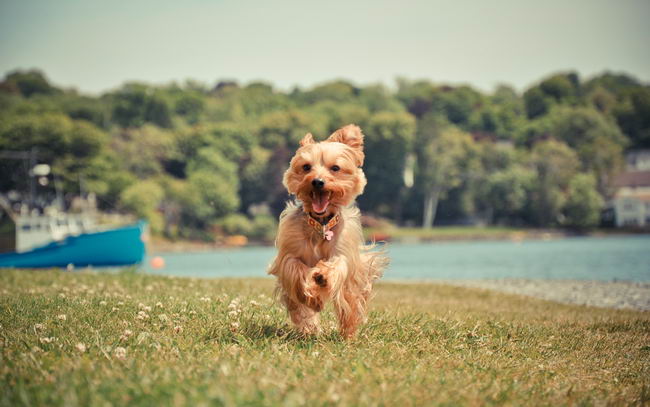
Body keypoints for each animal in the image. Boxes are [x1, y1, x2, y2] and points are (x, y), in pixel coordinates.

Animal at [268, 123, 388, 338]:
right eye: (306, 167)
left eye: (335, 168)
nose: (317, 181)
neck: (321, 223)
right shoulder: (289, 253)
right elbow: (295, 269)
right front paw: (312, 296)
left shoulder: (343, 251)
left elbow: (338, 264)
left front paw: (322, 275)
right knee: (301, 311)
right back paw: (309, 326)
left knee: (350, 303)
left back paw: (348, 333)